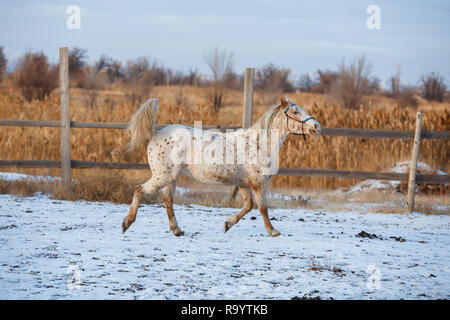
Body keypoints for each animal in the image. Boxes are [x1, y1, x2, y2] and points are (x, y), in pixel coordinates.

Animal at [121, 97, 322, 238]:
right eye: (295, 111)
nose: (316, 126)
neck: (257, 144)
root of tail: (156, 133)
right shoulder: (258, 184)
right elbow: (263, 208)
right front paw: (273, 231)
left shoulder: (243, 184)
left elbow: (248, 207)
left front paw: (227, 224)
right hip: (163, 176)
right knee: (139, 190)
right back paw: (126, 223)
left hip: (171, 178)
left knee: (167, 200)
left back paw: (177, 230)